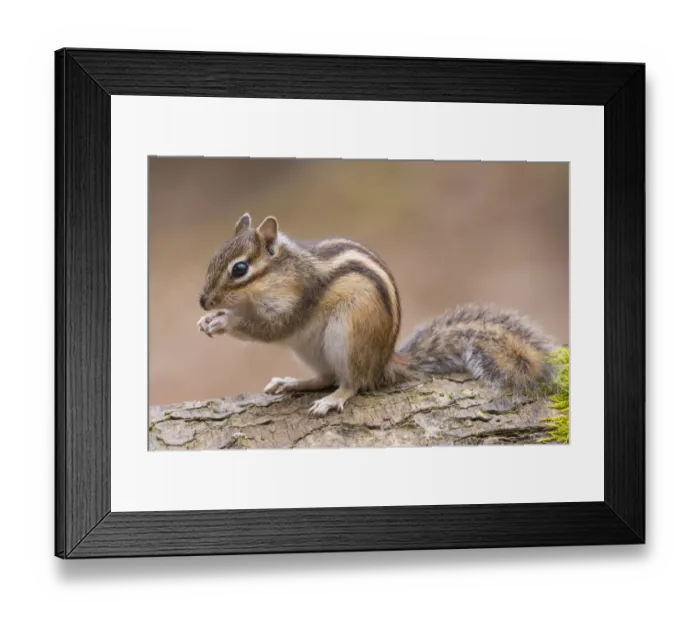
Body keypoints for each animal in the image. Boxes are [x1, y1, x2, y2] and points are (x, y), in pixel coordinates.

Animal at [197, 213, 556, 417]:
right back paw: (292, 383)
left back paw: (332, 399)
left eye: (240, 269)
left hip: (348, 336)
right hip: (314, 350)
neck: (282, 273)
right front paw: (208, 320)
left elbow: (271, 328)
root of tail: (383, 365)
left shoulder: (298, 302)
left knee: (353, 382)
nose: (202, 302)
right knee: (326, 376)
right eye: (213, 258)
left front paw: (224, 320)